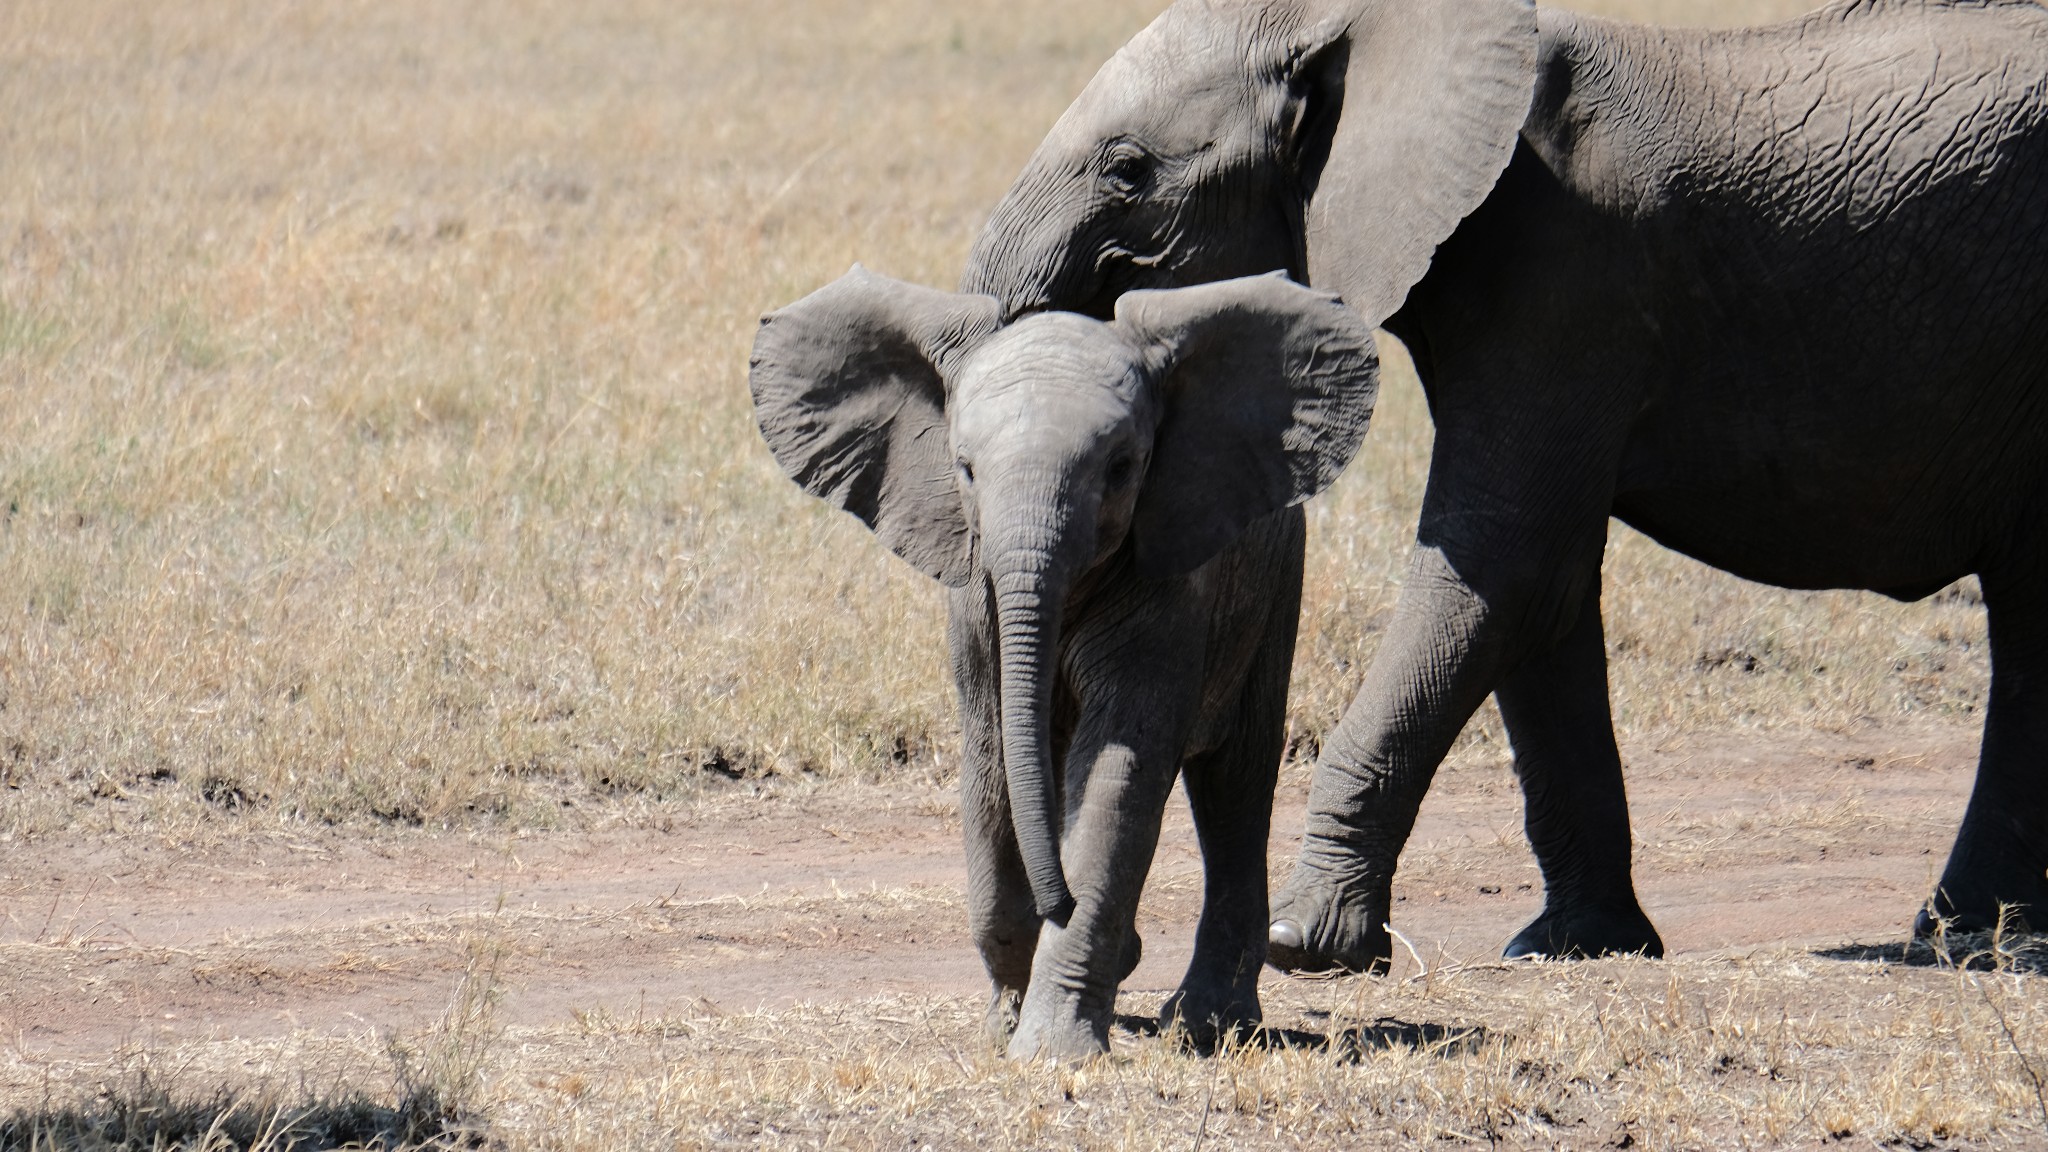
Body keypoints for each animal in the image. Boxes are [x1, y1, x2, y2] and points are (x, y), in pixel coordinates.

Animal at [749, 264, 1376, 1057]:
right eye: (965, 470)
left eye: (1122, 468)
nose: (1061, 902)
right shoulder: (975, 593)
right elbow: (994, 756)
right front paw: (1004, 1026)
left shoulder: (1171, 583)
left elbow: (1118, 772)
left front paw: (1051, 1051)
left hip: (1275, 579)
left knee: (1235, 781)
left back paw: (1207, 1023)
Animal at [958, 0, 2048, 967]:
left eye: (1128, 169)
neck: (1363, 24)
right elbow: (1542, 593)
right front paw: (1570, 947)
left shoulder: (1565, 274)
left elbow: (1501, 565)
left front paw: (1302, 946)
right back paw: (1969, 936)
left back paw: (1967, 945)